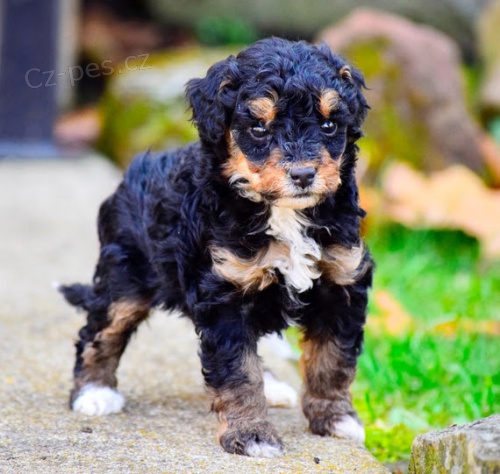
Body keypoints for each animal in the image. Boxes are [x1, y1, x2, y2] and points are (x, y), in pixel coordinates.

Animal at [60, 38, 374, 460]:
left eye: (328, 125)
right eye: (258, 127)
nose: (304, 175)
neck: (282, 214)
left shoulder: (341, 281)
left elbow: (332, 358)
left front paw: (336, 420)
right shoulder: (226, 292)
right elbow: (238, 370)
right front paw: (252, 433)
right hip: (123, 276)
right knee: (100, 330)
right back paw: (94, 393)